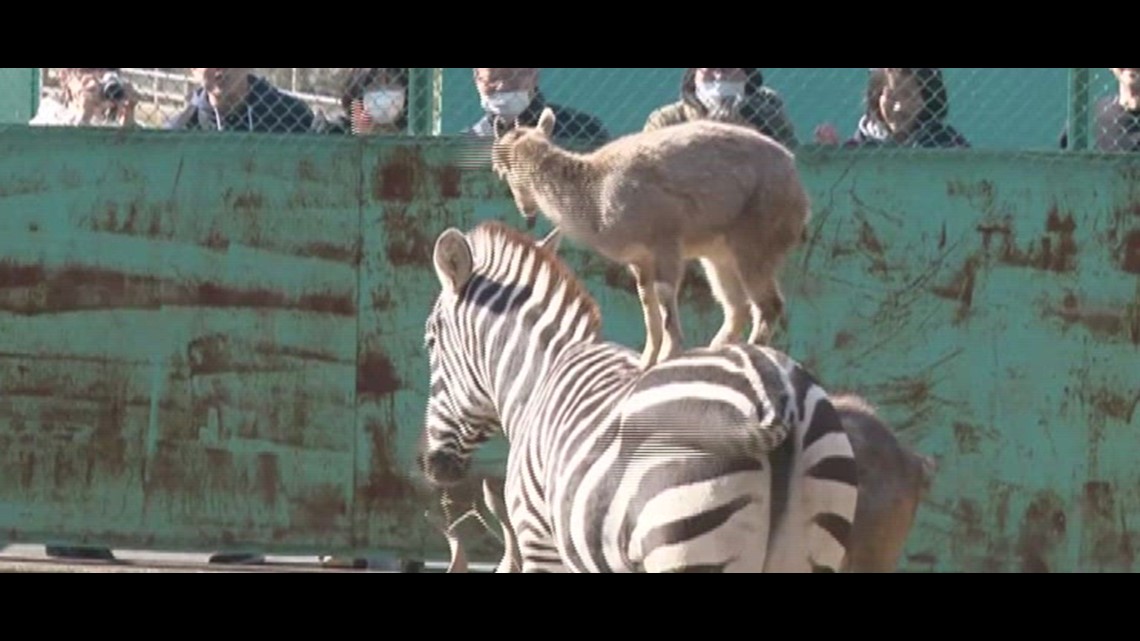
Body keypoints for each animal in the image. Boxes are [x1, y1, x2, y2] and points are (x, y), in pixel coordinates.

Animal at [419, 220, 860, 573]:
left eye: (429, 343)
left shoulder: (537, 537)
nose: (431, 464)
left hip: (684, 532)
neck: (538, 378)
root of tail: (775, 395)